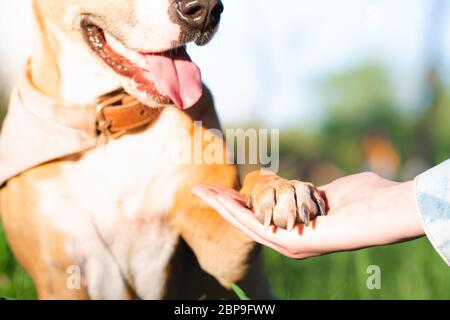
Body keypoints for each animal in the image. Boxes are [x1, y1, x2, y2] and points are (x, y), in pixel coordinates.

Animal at [0, 0, 324, 300]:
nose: (205, 10)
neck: (115, 129)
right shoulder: (58, 274)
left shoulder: (221, 254)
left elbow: (253, 184)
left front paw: (281, 189)